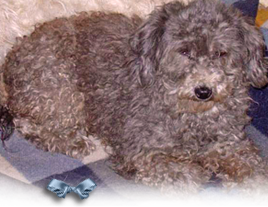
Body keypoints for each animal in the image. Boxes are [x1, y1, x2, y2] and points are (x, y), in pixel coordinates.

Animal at [0, 0, 268, 205]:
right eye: (184, 51)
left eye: (221, 53)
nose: (204, 90)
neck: (194, 118)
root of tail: (14, 53)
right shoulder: (138, 152)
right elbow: (179, 175)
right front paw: (192, 179)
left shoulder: (230, 143)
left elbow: (253, 167)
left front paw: (261, 187)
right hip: (63, 93)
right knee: (28, 123)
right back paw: (72, 141)